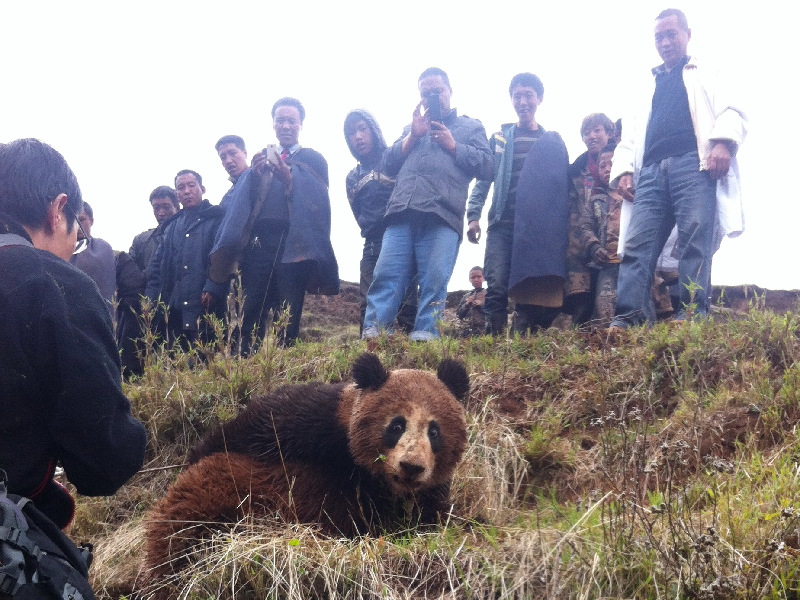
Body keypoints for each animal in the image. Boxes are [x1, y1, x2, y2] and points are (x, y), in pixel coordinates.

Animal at [144, 354, 468, 580]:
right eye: (397, 425)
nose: (411, 467)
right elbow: (255, 424)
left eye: (434, 431)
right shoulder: (317, 418)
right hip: (209, 501)